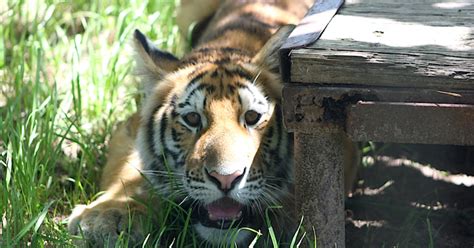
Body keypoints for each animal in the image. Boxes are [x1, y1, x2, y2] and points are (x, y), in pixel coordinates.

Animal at [67, 0, 360, 246]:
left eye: (252, 117)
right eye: (192, 118)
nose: (226, 179)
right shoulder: (129, 127)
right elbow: (127, 171)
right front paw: (108, 216)